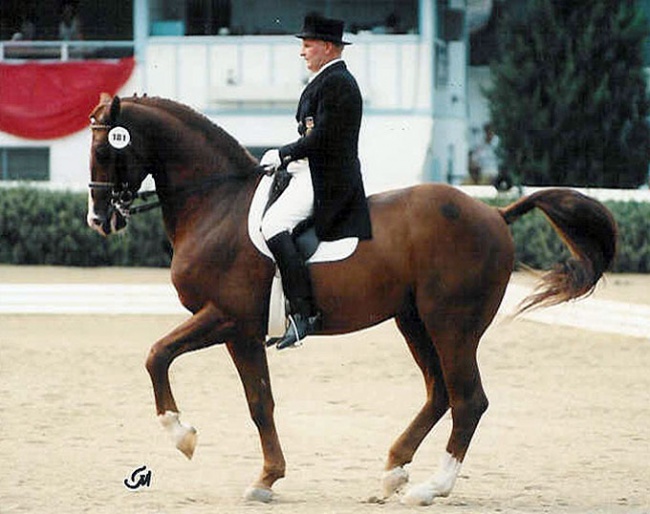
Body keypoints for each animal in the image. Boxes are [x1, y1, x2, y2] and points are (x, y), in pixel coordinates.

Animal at [86, 94, 612, 502]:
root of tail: (494, 213)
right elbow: (260, 401)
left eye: (105, 149)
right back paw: (395, 471)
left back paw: (431, 488)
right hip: (414, 321)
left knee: (468, 400)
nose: (99, 219)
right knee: (440, 392)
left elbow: (157, 355)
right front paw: (267, 479)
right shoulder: (243, 333)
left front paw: (182, 435)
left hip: (452, 324)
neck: (217, 205)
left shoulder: (226, 318)